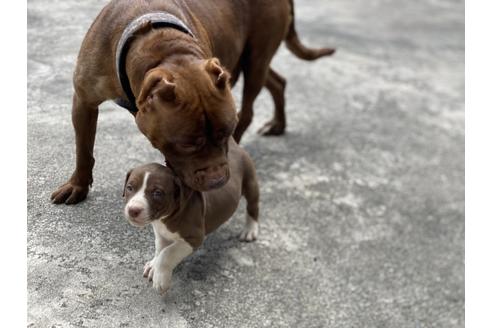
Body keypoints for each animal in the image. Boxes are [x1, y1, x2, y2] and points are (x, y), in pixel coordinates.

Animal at [51, 0, 334, 205]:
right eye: (185, 144)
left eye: (225, 133)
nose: (217, 181)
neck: (161, 47)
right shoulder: (84, 101)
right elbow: (83, 148)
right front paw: (77, 185)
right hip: (253, 62)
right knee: (277, 82)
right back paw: (278, 124)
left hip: (256, 58)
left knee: (250, 108)